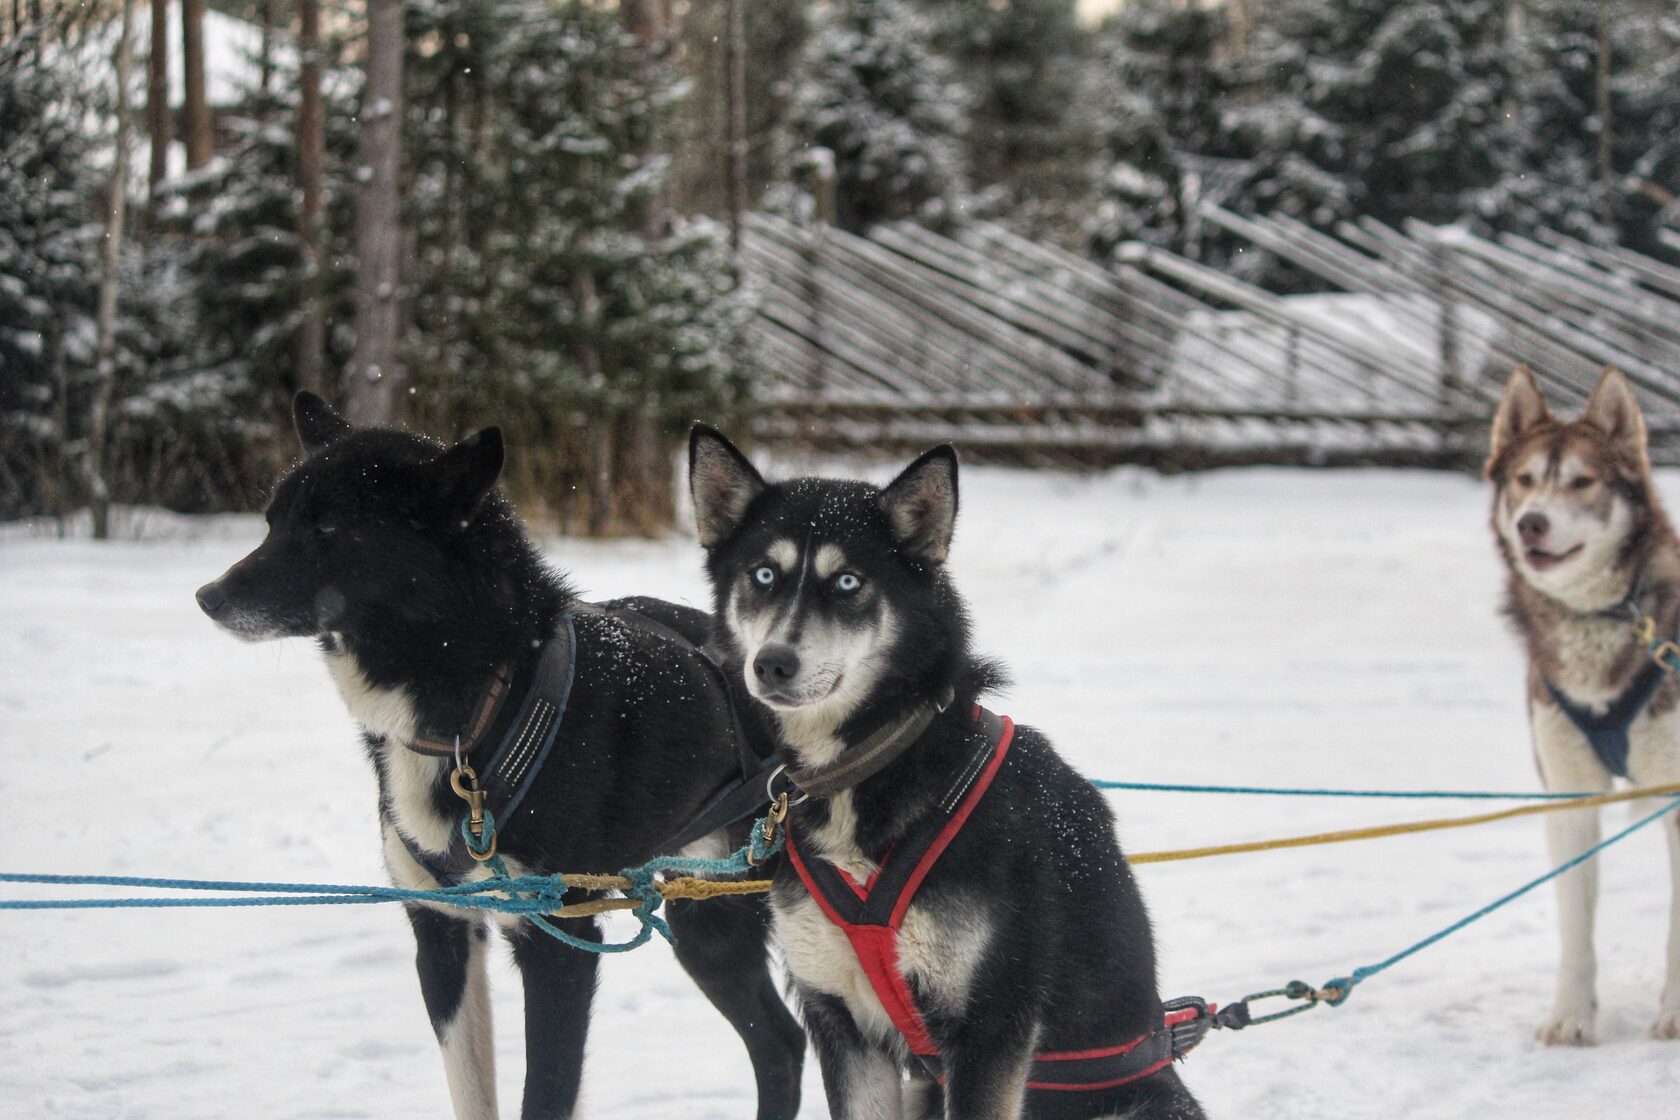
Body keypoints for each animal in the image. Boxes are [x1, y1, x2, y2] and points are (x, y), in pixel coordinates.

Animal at [196, 397, 799, 1120]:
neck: (483, 708)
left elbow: (545, 1092)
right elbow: (471, 1088)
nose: (208, 596)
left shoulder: (559, 943)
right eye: (272, 522)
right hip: (709, 922)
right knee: (781, 1044)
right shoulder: (441, 927)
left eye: (327, 528)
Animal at [685, 429, 1209, 1120]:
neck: (879, 762)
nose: (772, 663)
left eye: (848, 581)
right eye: (763, 575)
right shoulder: (842, 1023)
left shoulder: (988, 1027)